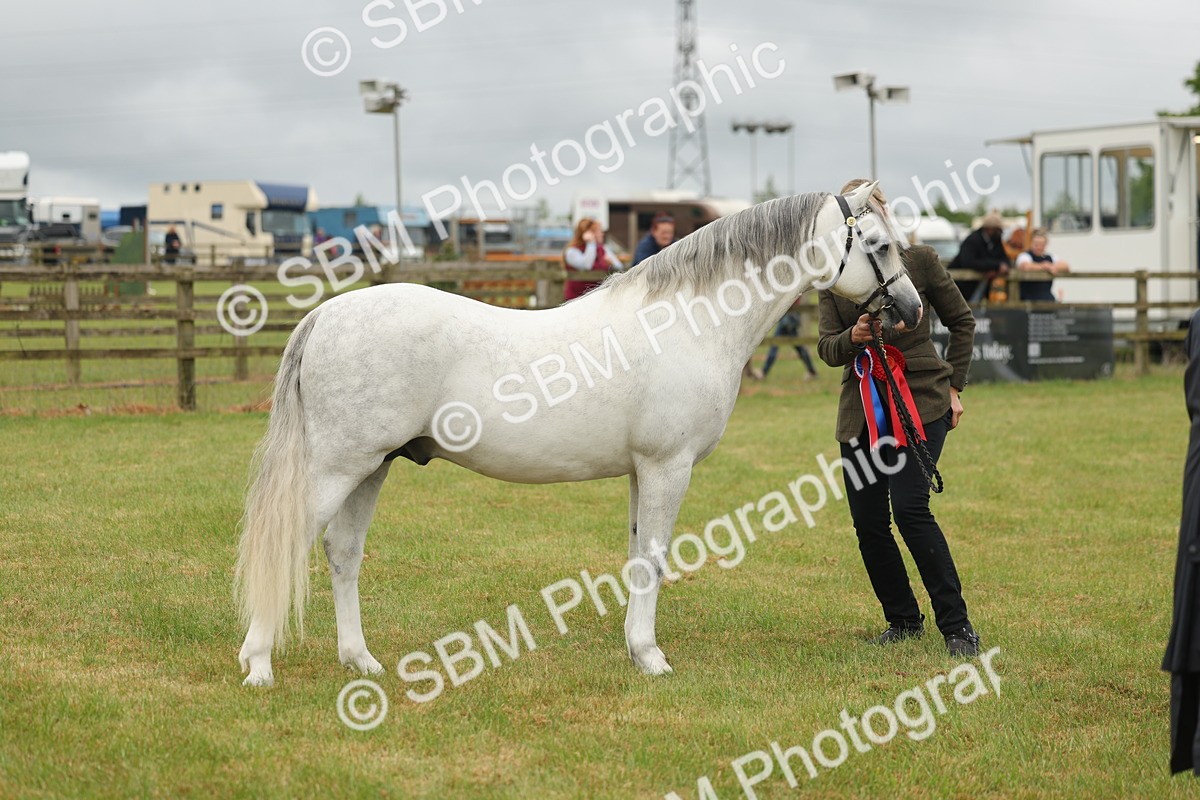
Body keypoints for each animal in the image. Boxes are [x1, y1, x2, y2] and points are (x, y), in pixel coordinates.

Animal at [235, 181, 921, 686]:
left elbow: (637, 556)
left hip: (372, 467)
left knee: (343, 553)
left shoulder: (641, 472)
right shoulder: (668, 466)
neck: (687, 321)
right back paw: (259, 664)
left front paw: (635, 649)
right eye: (880, 245)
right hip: (339, 467)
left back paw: (362, 661)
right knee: (291, 540)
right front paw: (652, 658)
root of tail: (327, 313)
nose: (912, 312)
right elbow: (655, 557)